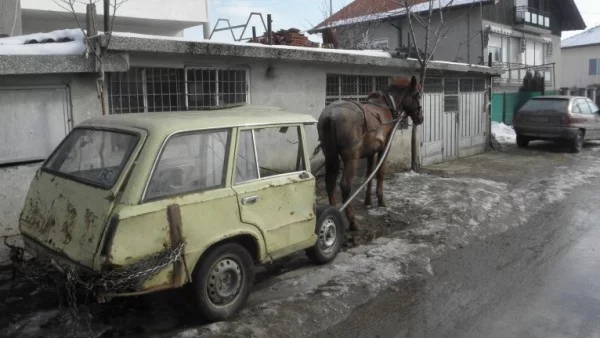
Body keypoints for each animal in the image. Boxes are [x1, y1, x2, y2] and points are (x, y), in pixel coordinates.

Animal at [316, 75, 424, 231]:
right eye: (417, 95)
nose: (420, 118)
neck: (387, 107)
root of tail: (330, 115)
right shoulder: (384, 149)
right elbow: (380, 173)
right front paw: (381, 200)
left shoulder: (370, 152)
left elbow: (369, 174)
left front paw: (367, 201)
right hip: (351, 158)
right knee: (345, 185)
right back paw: (353, 221)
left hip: (330, 156)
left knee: (330, 183)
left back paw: (334, 211)